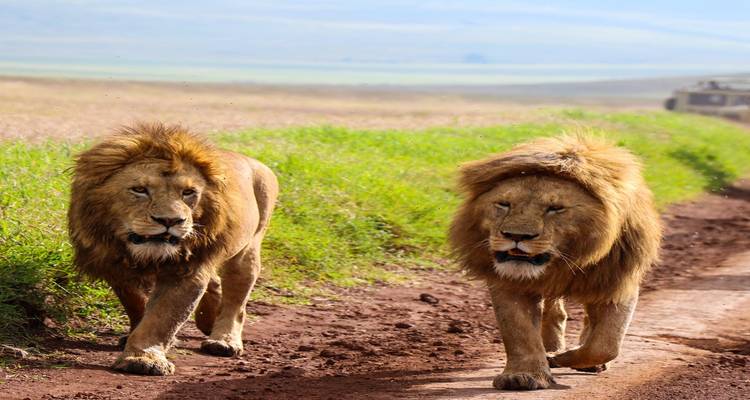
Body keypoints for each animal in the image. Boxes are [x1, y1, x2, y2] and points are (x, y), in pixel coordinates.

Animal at [68, 123, 278, 376]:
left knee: (236, 301)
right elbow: (136, 303)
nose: (170, 220)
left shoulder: (186, 269)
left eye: (188, 193)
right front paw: (137, 336)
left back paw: (224, 340)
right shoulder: (113, 264)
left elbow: (161, 317)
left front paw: (143, 358)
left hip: (248, 250)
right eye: (139, 189)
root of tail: (254, 161)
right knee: (215, 282)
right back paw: (209, 319)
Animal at [449, 135, 662, 390]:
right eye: (504, 204)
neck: (565, 259)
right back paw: (550, 348)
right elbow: (518, 330)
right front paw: (523, 376)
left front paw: (567, 358)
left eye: (555, 208)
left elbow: (605, 344)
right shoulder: (509, 282)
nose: (516, 236)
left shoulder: (618, 280)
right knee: (554, 312)